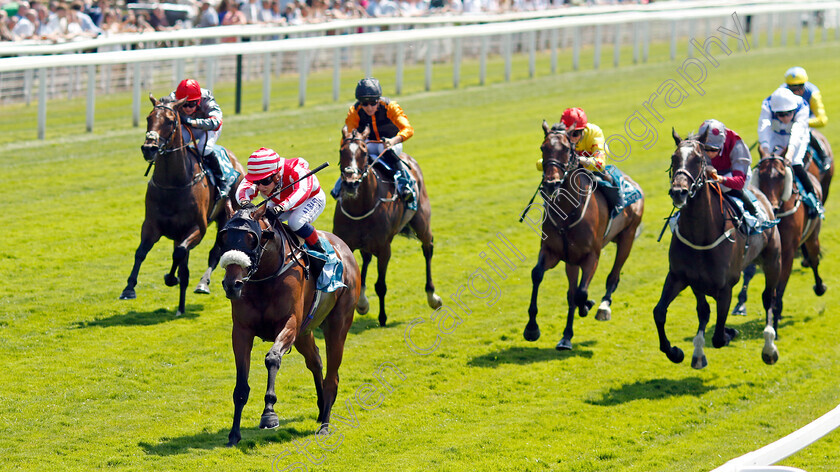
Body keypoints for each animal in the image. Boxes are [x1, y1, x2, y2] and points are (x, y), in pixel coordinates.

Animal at [121, 94, 246, 316]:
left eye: (171, 121)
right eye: (148, 117)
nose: (149, 148)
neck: (174, 184)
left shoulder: (196, 228)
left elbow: (179, 253)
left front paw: (172, 278)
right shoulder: (152, 225)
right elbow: (141, 252)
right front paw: (129, 288)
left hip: (226, 218)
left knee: (215, 253)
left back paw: (202, 284)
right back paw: (180, 305)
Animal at [218, 208, 360, 448]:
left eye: (252, 239)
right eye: (224, 237)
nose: (232, 284)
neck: (266, 276)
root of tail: (345, 249)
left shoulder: (289, 324)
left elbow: (273, 358)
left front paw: (269, 413)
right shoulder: (242, 331)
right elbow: (241, 386)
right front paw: (234, 435)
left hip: (338, 324)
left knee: (332, 377)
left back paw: (325, 426)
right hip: (305, 333)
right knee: (316, 362)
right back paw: (321, 409)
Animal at [332, 124, 442, 328]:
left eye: (364, 152)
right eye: (341, 151)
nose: (351, 183)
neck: (361, 207)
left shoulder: (384, 248)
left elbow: (380, 286)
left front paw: (382, 317)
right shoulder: (347, 243)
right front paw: (361, 304)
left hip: (422, 221)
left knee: (428, 248)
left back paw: (432, 296)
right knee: (366, 258)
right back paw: (362, 302)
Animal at [524, 121, 644, 350]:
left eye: (566, 149)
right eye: (543, 148)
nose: (551, 184)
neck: (567, 211)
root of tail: (633, 183)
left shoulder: (592, 256)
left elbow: (582, 293)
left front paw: (588, 304)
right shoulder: (553, 252)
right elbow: (538, 275)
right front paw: (532, 328)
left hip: (627, 237)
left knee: (613, 276)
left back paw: (603, 307)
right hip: (571, 260)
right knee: (572, 292)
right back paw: (566, 337)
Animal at [652, 130, 784, 368]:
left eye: (698, 159)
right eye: (674, 158)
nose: (679, 192)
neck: (701, 234)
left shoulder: (725, 288)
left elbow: (719, 336)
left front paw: (730, 332)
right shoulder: (680, 277)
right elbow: (661, 312)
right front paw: (675, 352)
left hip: (773, 261)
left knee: (769, 297)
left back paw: (769, 346)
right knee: (703, 311)